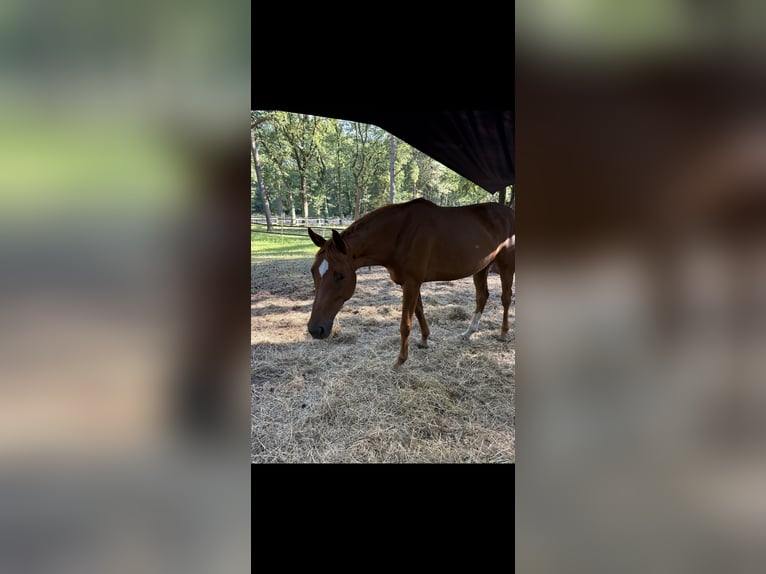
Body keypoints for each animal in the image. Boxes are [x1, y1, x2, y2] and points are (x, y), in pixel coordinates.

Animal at [307, 198, 515, 367]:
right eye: (313, 272)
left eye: (340, 275)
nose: (315, 329)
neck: (400, 233)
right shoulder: (411, 283)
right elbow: (419, 312)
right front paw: (424, 340)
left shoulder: (411, 283)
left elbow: (405, 324)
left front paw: (400, 361)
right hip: (481, 268)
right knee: (482, 296)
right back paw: (469, 332)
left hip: (506, 265)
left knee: (505, 298)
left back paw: (504, 333)